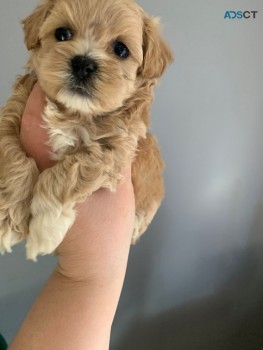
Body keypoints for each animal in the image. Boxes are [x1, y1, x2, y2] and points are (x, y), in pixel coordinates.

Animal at [0, 0, 173, 260]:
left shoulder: (116, 148)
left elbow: (71, 169)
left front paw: (45, 226)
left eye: (121, 50)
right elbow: (17, 160)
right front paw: (8, 219)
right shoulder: (11, 115)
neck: (73, 112)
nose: (83, 63)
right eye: (62, 34)